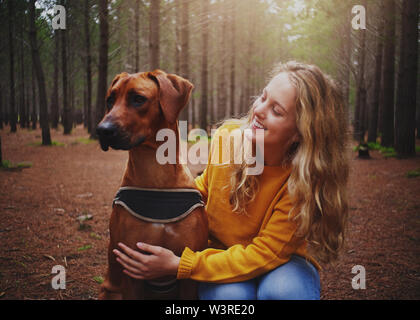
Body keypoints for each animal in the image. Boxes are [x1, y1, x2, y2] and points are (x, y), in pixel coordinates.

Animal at [94, 70, 208, 300]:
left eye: (138, 99)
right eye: (110, 100)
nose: (101, 130)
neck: (156, 173)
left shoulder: (188, 273)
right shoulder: (132, 269)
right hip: (110, 291)